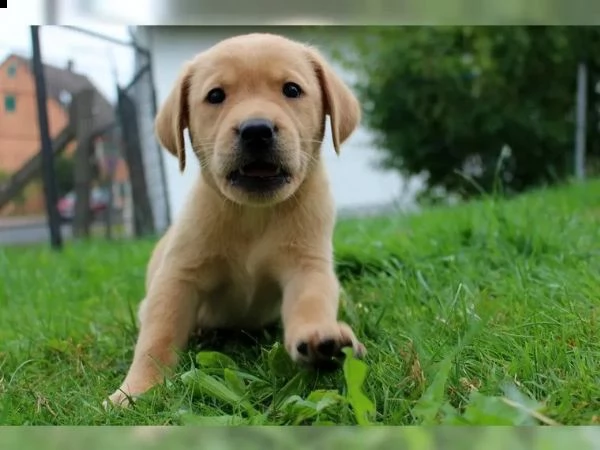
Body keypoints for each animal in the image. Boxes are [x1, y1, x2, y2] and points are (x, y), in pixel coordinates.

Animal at [108, 33, 366, 408]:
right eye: (216, 96)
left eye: (291, 90)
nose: (256, 130)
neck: (254, 214)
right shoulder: (178, 276)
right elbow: (157, 337)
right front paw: (136, 390)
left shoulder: (307, 265)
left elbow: (310, 302)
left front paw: (320, 339)